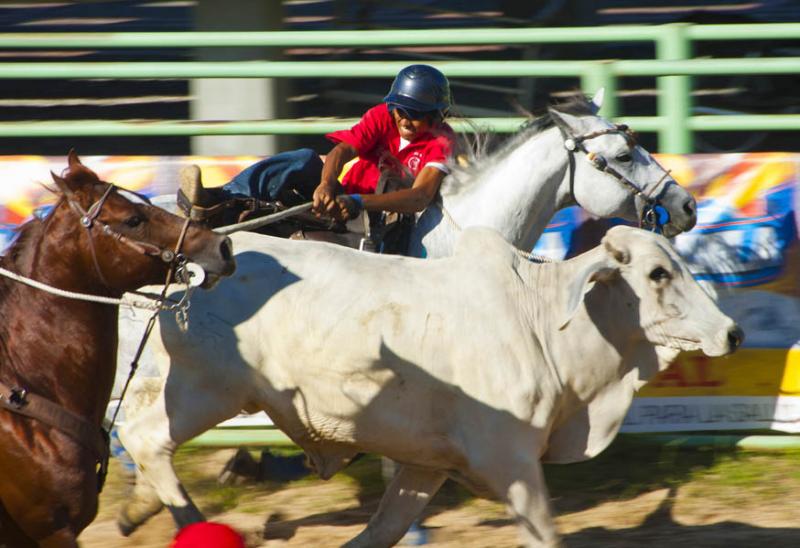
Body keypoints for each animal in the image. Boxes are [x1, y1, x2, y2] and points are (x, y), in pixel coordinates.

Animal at [119, 225, 744, 544]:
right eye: (657, 274)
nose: (732, 333)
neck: (543, 323)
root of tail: (191, 269)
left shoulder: (427, 464)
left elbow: (382, 531)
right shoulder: (512, 460)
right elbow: (544, 534)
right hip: (209, 391)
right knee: (143, 437)